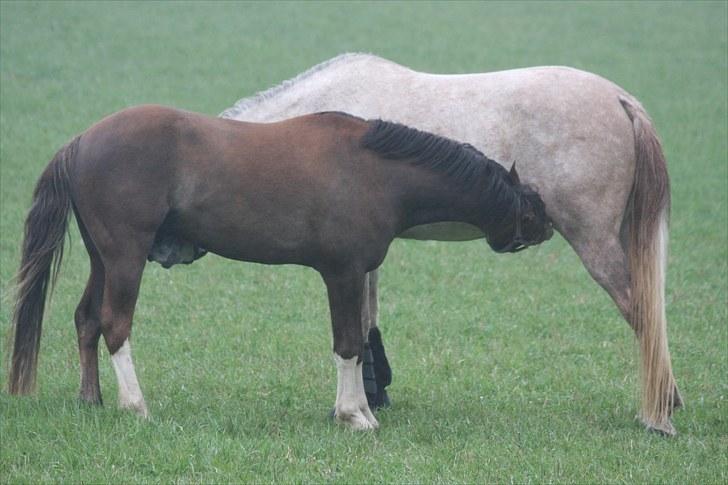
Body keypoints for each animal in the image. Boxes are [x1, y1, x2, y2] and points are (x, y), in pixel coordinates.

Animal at [7, 105, 552, 428]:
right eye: (530, 207)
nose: (545, 228)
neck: (375, 173)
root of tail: (81, 140)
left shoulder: (354, 275)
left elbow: (356, 344)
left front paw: (357, 410)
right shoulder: (342, 273)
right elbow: (348, 345)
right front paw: (354, 416)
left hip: (103, 258)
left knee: (86, 321)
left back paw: (92, 399)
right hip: (125, 256)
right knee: (115, 325)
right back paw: (135, 406)